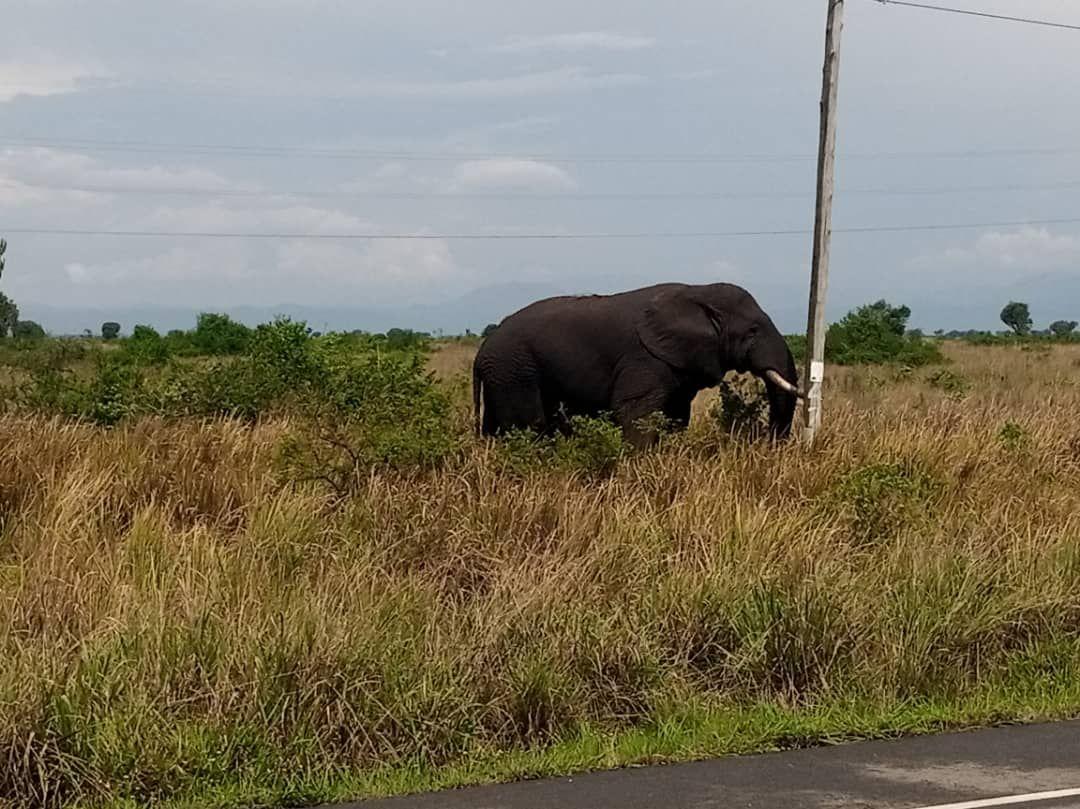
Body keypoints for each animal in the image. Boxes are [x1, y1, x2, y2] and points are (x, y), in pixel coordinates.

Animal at [472, 282, 805, 449]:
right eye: (752, 331)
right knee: (529, 424)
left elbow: (676, 415)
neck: (697, 292)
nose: (770, 447)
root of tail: (481, 352)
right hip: (515, 370)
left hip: (503, 374)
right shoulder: (645, 358)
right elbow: (634, 411)